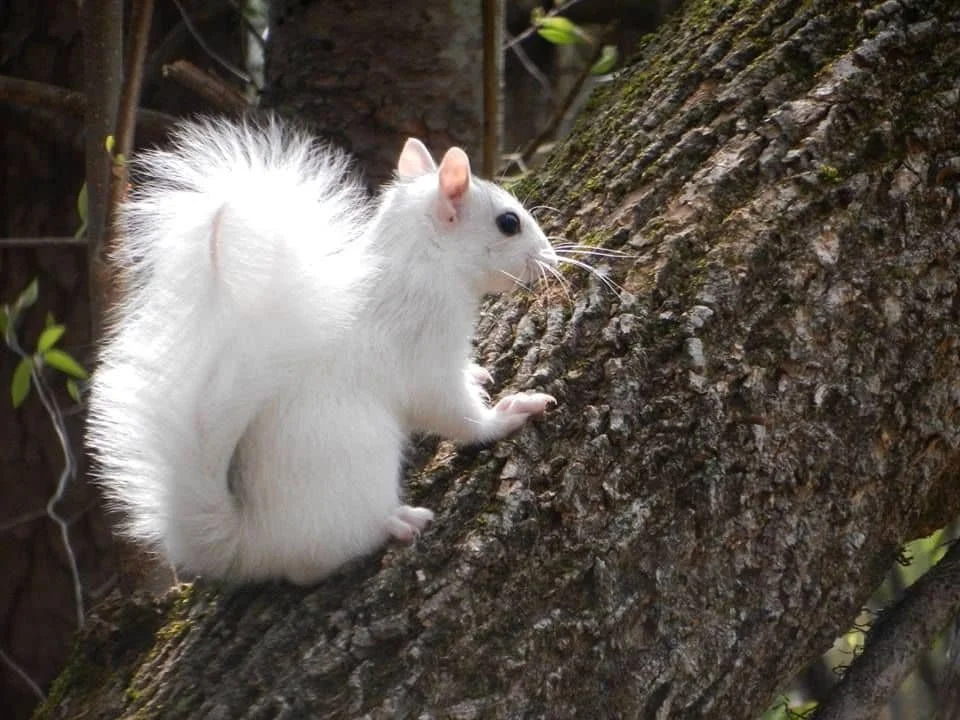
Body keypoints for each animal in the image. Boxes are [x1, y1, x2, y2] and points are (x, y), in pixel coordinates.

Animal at [86, 117, 559, 586]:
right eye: (509, 223)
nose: (553, 259)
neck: (423, 257)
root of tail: (255, 544)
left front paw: (476, 373)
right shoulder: (425, 345)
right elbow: (452, 411)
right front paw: (506, 415)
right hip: (356, 466)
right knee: (323, 559)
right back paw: (394, 524)